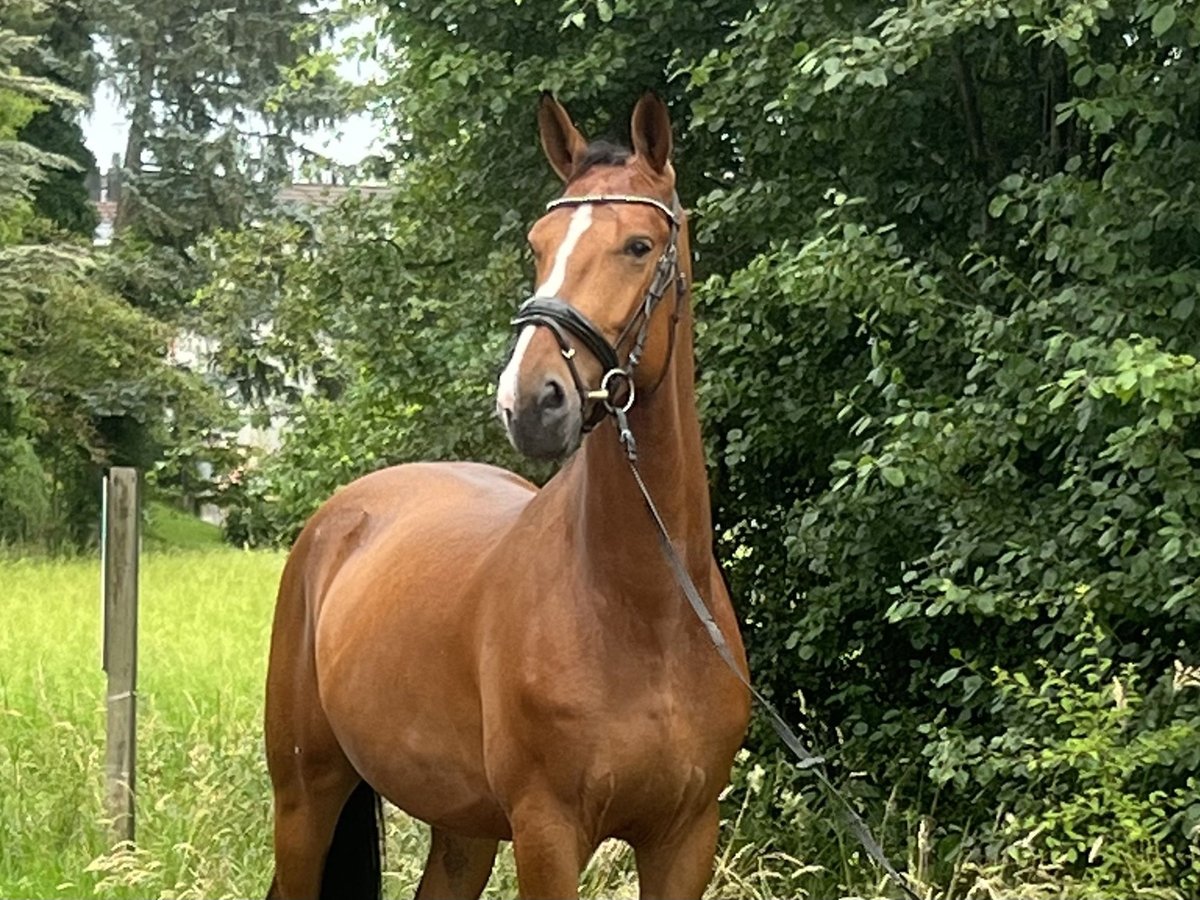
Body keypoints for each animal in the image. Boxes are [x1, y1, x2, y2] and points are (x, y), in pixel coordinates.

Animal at [266, 93, 744, 900]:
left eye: (639, 245)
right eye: (537, 243)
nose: (531, 400)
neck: (645, 610)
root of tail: (338, 520)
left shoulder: (686, 838)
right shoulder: (547, 832)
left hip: (461, 825)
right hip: (306, 800)